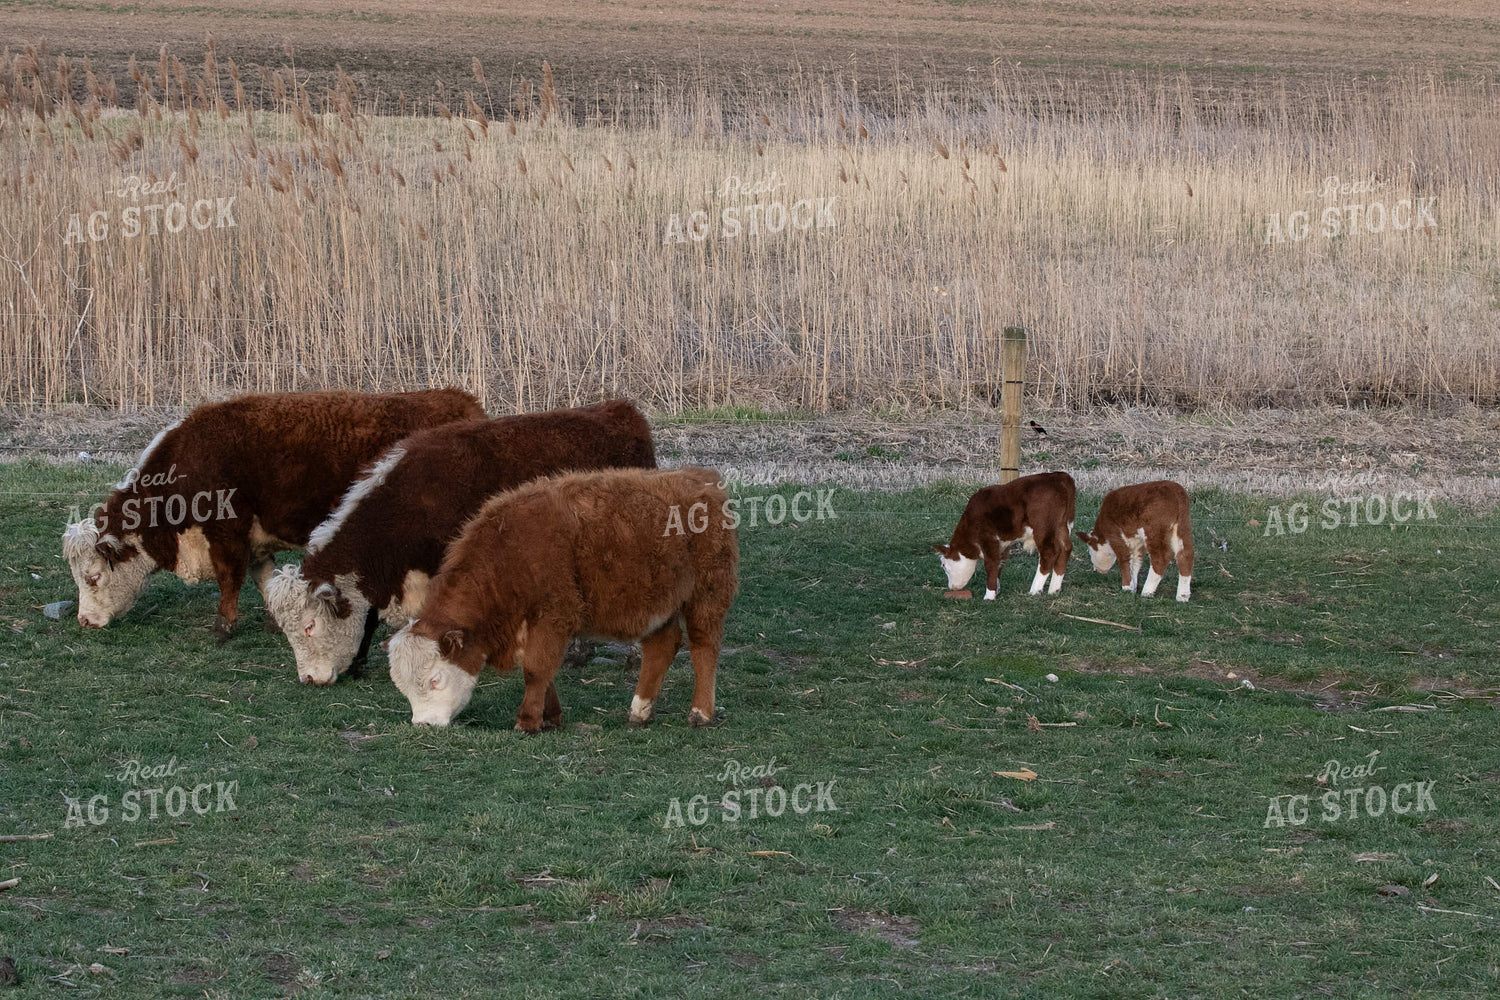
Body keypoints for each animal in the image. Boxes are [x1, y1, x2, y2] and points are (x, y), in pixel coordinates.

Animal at [61, 389, 484, 639]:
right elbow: (262, 578)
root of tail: (457, 399)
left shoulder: (227, 534)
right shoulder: (255, 541)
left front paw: (222, 627)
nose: (84, 621)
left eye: (93, 577)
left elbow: (229, 579)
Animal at [388, 467, 739, 731]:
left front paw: (527, 722)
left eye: (435, 680)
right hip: (660, 604)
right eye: (403, 689)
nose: (423, 724)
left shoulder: (553, 616)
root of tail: (702, 478)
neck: (510, 550)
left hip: (707, 594)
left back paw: (700, 713)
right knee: (661, 647)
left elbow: (536, 668)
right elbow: (543, 671)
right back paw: (639, 711)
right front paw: (551, 717)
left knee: (704, 648)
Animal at [933, 471, 1077, 600]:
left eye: (943, 565)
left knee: (1049, 552)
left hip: (1043, 526)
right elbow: (999, 563)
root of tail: (1060, 476)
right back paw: (1054, 589)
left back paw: (1035, 590)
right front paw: (996, 590)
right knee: (1066, 548)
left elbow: (990, 565)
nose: (951, 587)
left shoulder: (988, 538)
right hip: (1061, 525)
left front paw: (989, 596)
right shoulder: (1002, 544)